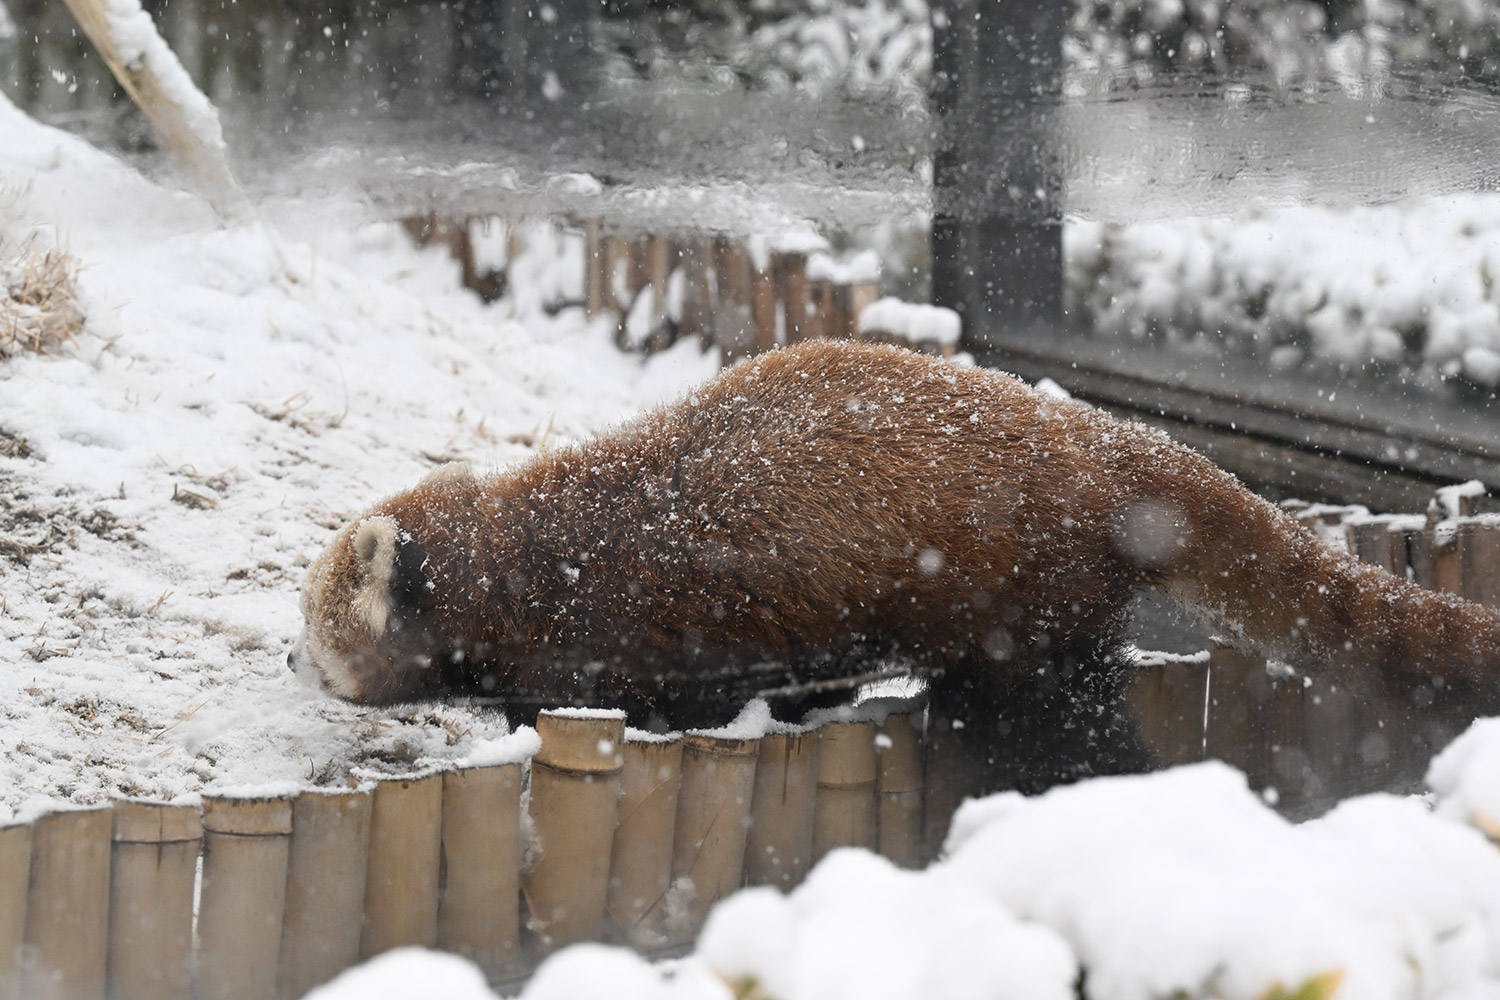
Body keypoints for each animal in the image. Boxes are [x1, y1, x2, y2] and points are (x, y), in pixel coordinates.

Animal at [289, 339, 1500, 792]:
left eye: (310, 632)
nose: (297, 670)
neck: (535, 559)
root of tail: (1106, 440)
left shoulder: (634, 627)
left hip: (1018, 605)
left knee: (1054, 717)